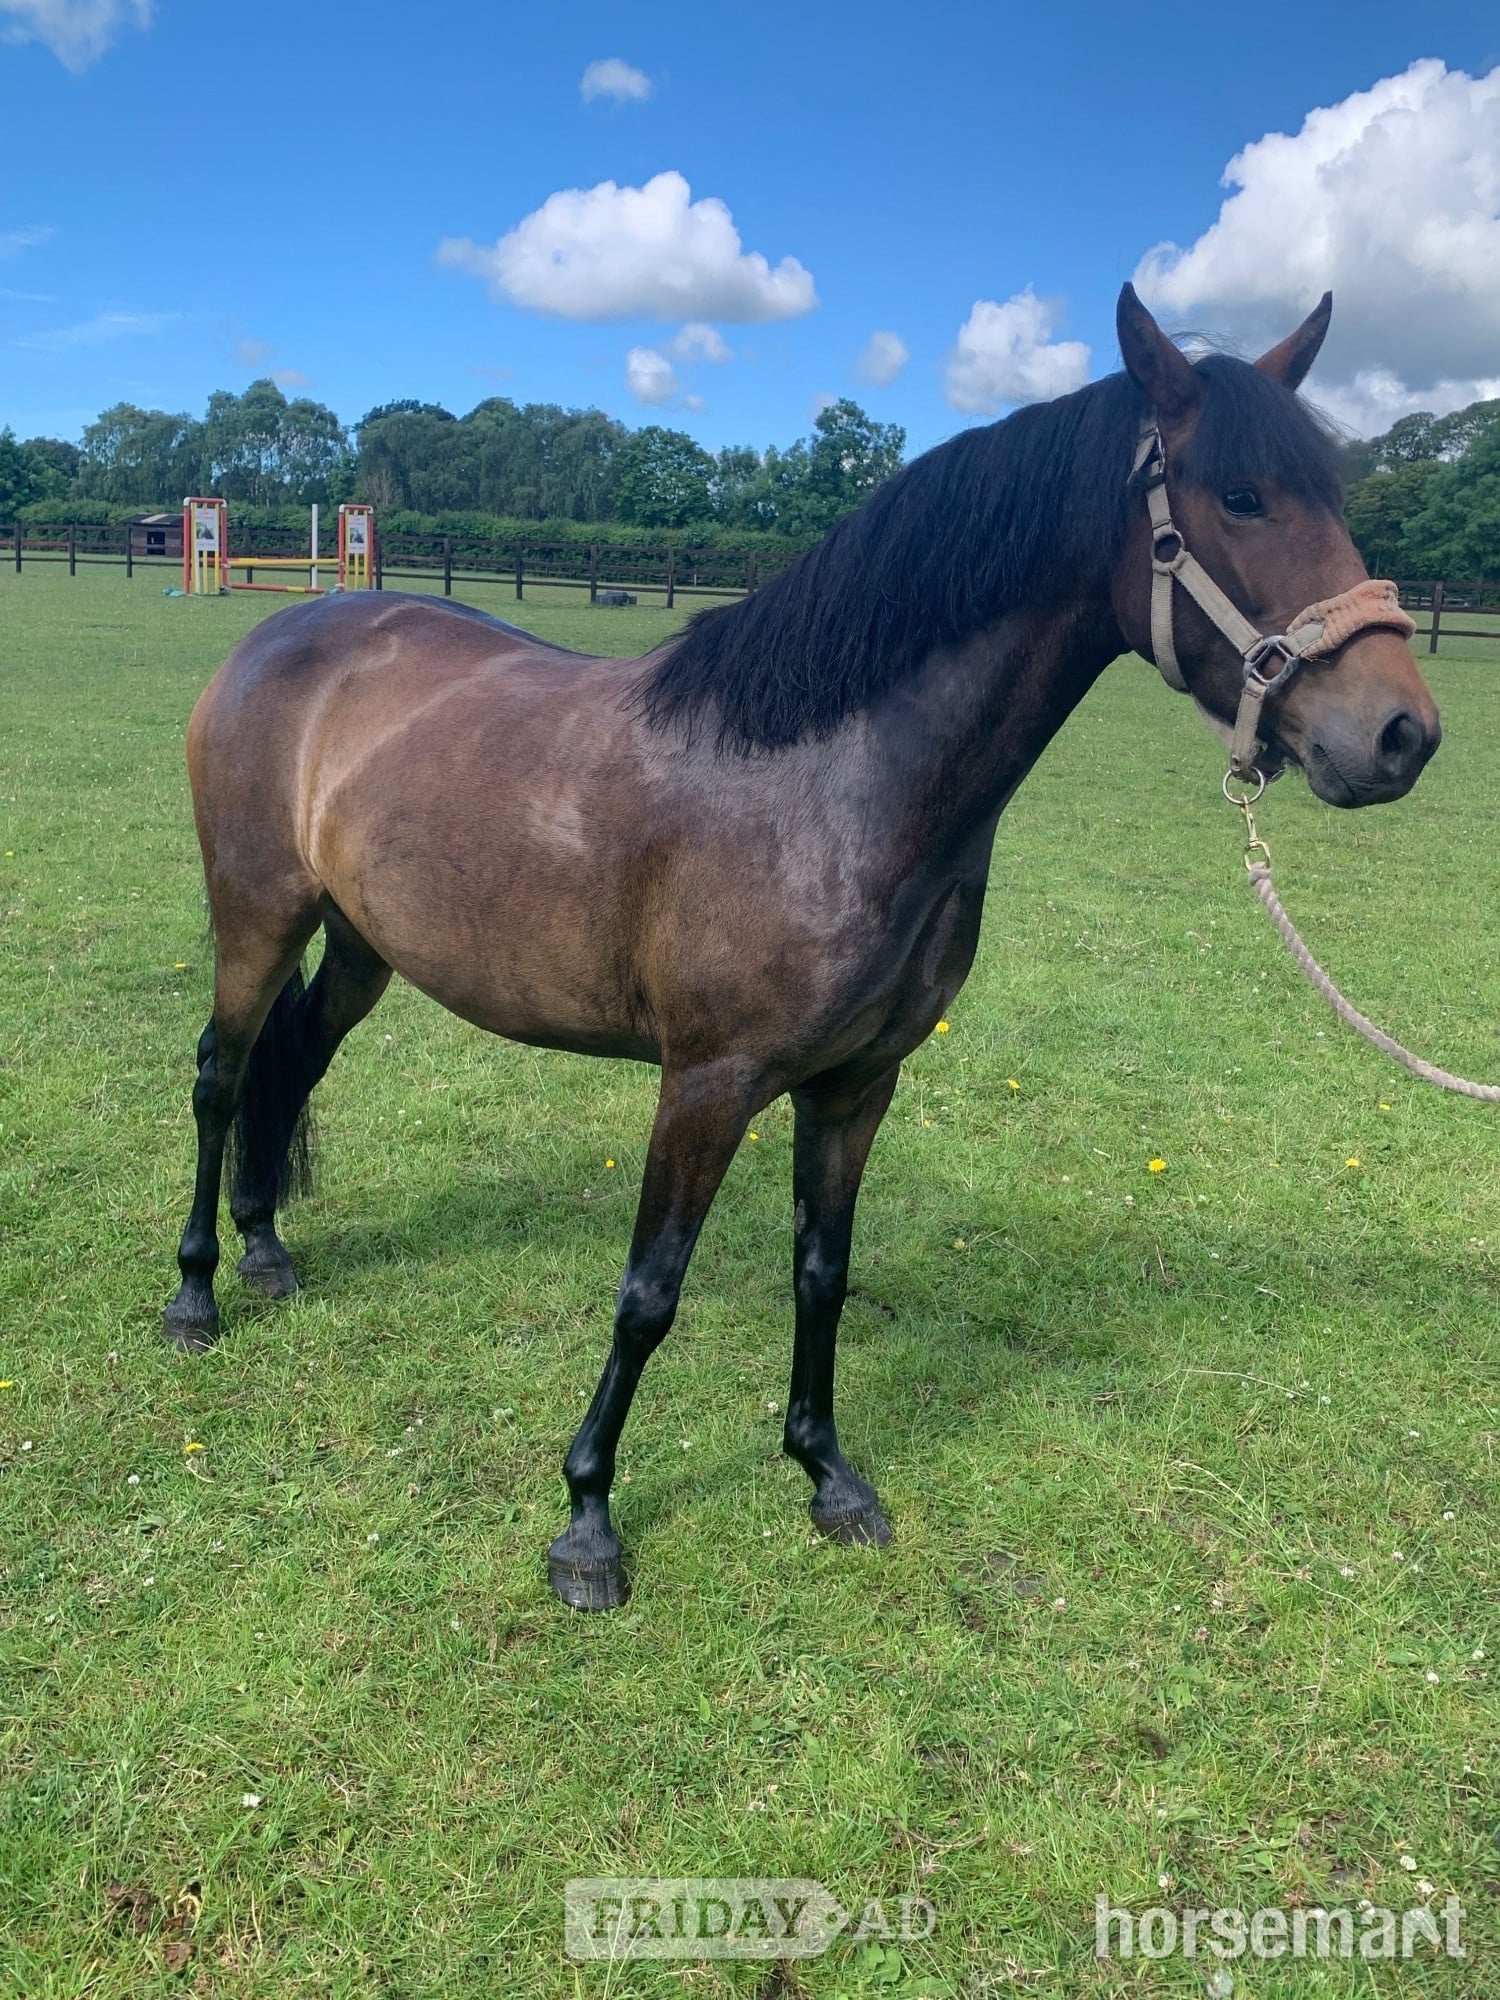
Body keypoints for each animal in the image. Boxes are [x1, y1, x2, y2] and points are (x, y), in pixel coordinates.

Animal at [164, 286, 1440, 1610]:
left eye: (1332, 495)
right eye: (1240, 495)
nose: (1401, 733)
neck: (833, 780)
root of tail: (285, 633)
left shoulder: (856, 1083)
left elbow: (821, 1271)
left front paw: (826, 1473)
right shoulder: (708, 1082)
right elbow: (648, 1293)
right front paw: (587, 1521)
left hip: (363, 943)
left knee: (293, 1064)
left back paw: (265, 1248)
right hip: (256, 918)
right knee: (220, 1074)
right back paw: (197, 1291)